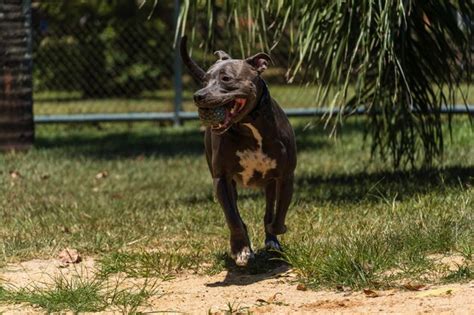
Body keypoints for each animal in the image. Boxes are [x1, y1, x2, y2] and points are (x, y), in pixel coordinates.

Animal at [180, 37, 294, 270]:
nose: (198, 96)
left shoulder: (286, 177)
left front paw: (275, 234)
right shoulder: (222, 179)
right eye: (204, 80)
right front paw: (241, 250)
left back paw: (272, 239)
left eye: (226, 79)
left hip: (270, 184)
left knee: (269, 209)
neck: (249, 127)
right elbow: (233, 218)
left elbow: (278, 215)